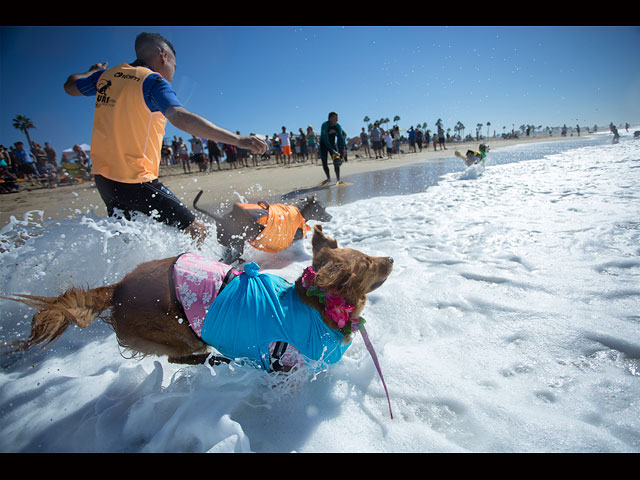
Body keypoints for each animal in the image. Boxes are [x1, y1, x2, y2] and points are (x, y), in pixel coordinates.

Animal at [2, 226, 392, 376]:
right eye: (367, 263)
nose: (390, 258)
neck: (316, 306)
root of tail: (118, 287)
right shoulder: (286, 363)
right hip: (181, 331)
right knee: (179, 357)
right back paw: (213, 360)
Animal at [192, 190, 332, 264]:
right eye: (323, 208)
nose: (330, 217)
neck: (301, 211)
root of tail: (220, 218)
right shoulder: (295, 239)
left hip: (228, 244)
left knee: (225, 257)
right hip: (237, 243)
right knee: (230, 259)